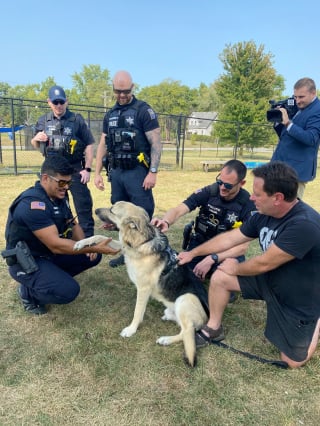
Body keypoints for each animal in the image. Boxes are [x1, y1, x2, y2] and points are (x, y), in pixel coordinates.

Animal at [73, 202, 209, 366]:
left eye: (112, 210)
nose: (95, 210)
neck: (140, 243)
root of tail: (206, 319)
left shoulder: (143, 289)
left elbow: (137, 312)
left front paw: (131, 330)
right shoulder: (122, 245)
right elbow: (100, 236)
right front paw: (81, 243)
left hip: (185, 298)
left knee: (188, 332)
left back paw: (166, 339)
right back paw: (168, 317)